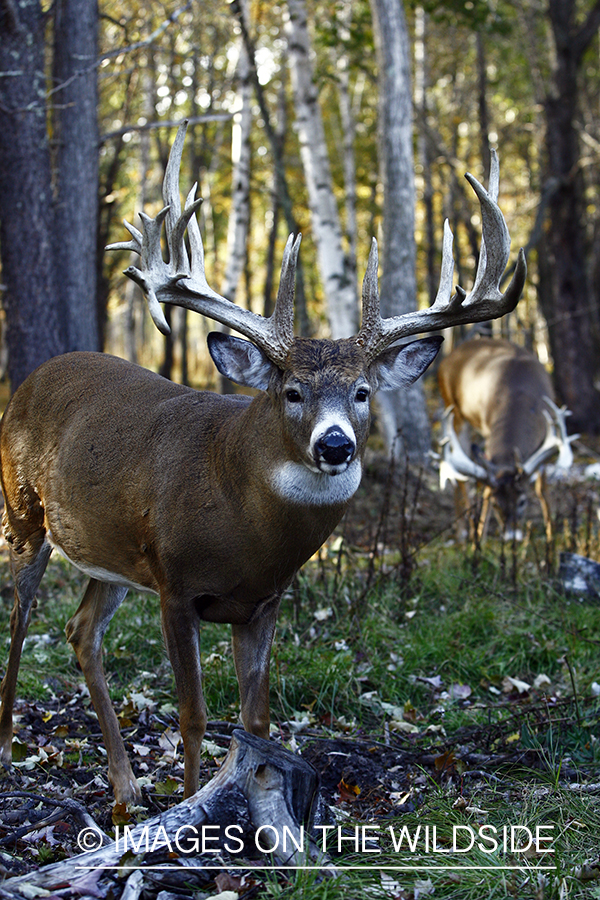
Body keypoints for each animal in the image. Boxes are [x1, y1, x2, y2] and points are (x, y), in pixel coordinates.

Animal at [0, 125, 524, 800]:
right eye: (292, 390)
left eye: (362, 391)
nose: (335, 445)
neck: (242, 522)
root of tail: (34, 376)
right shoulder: (176, 584)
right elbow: (193, 715)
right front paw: (189, 802)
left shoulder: (264, 601)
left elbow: (256, 719)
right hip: (23, 513)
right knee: (20, 617)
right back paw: (13, 749)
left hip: (108, 550)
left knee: (81, 631)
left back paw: (124, 789)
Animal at [438, 334, 576, 536]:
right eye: (496, 503)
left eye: (522, 501)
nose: (512, 536)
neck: (518, 395)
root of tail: (450, 355)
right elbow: (485, 489)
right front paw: (478, 538)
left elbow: (542, 490)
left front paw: (551, 536)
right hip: (454, 410)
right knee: (460, 476)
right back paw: (464, 532)